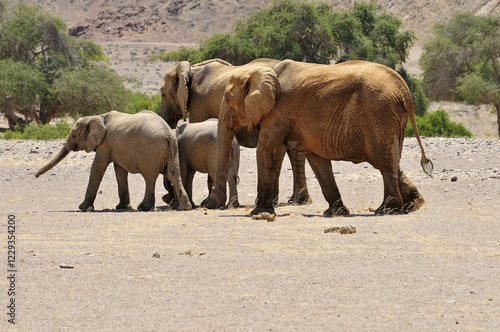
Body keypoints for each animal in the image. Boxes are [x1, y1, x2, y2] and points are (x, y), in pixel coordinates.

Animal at [34, 110, 191, 211]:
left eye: (74, 135)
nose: (35, 175)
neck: (98, 116)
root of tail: (168, 134)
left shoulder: (105, 143)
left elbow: (97, 168)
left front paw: (83, 208)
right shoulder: (115, 146)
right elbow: (119, 170)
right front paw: (122, 207)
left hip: (150, 150)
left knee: (149, 177)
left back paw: (144, 207)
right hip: (172, 150)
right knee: (173, 174)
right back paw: (185, 207)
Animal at [160, 58, 310, 206]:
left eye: (162, 94)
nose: (167, 199)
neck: (193, 69)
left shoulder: (199, 105)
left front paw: (206, 202)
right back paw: (295, 200)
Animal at [209, 59, 432, 215]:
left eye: (227, 99)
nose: (212, 203)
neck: (260, 71)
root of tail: (405, 90)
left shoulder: (278, 112)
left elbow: (267, 151)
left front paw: (259, 212)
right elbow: (317, 161)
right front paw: (335, 213)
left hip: (380, 115)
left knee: (383, 163)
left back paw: (387, 210)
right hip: (389, 119)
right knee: (390, 161)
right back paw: (413, 205)